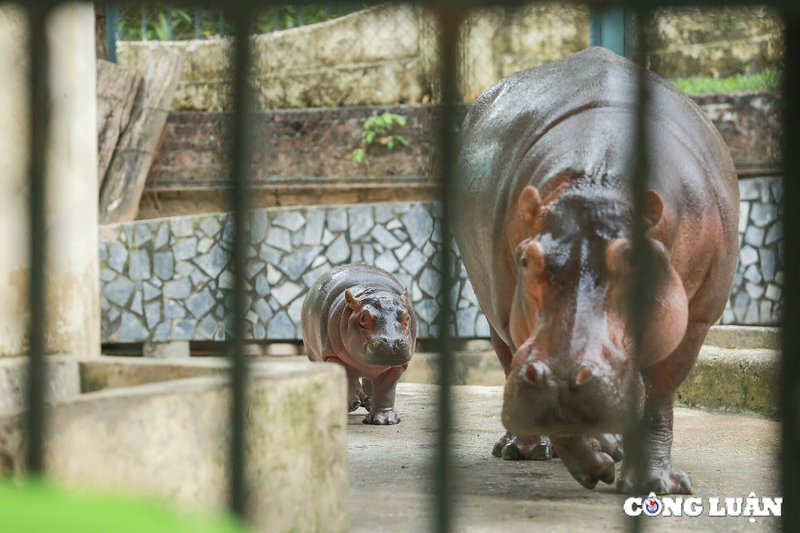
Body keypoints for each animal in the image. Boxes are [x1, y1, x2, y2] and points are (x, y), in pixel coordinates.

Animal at [300, 262, 418, 424]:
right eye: (363, 318)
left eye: (407, 317)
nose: (392, 342)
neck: (372, 289)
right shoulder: (332, 356)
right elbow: (348, 376)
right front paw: (353, 403)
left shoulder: (398, 365)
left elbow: (386, 388)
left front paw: (384, 419)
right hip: (314, 355)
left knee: (370, 380)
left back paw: (368, 402)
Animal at [454, 47, 740, 492]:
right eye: (526, 258)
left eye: (637, 261)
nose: (558, 378)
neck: (597, 183)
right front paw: (598, 467)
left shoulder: (696, 318)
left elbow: (658, 397)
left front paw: (655, 483)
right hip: (494, 309)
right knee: (507, 356)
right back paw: (525, 450)